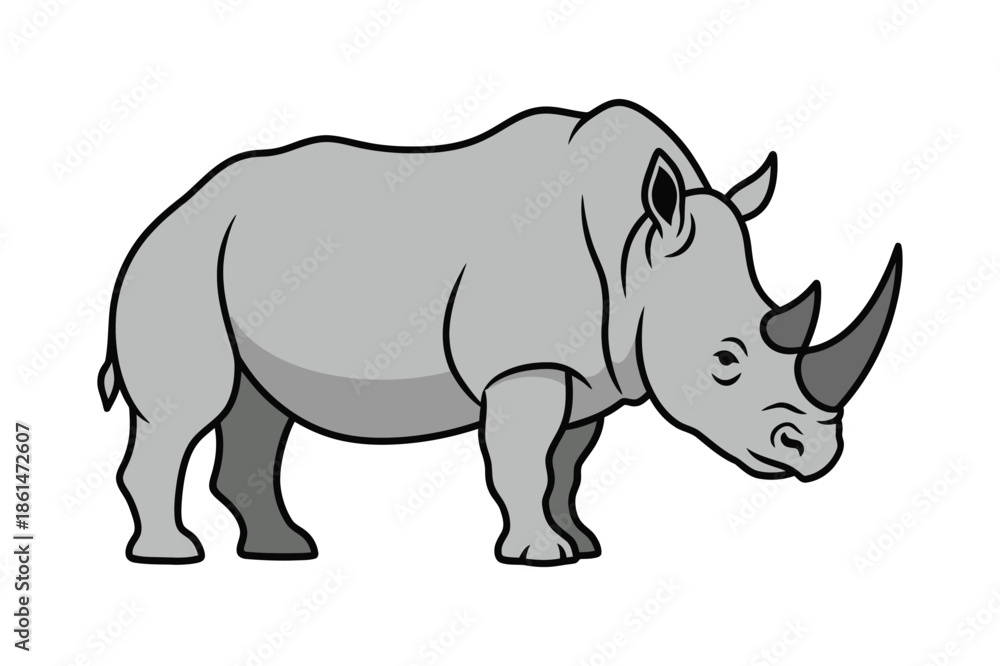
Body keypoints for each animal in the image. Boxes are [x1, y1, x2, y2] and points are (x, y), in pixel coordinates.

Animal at [99, 100, 901, 566]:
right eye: (725, 359)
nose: (816, 453)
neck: (637, 257)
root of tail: (172, 209)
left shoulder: (590, 375)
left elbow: (563, 467)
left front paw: (581, 545)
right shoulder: (525, 366)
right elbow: (521, 462)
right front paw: (539, 557)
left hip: (222, 260)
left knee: (258, 409)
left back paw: (285, 553)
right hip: (178, 265)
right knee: (188, 410)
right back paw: (172, 558)